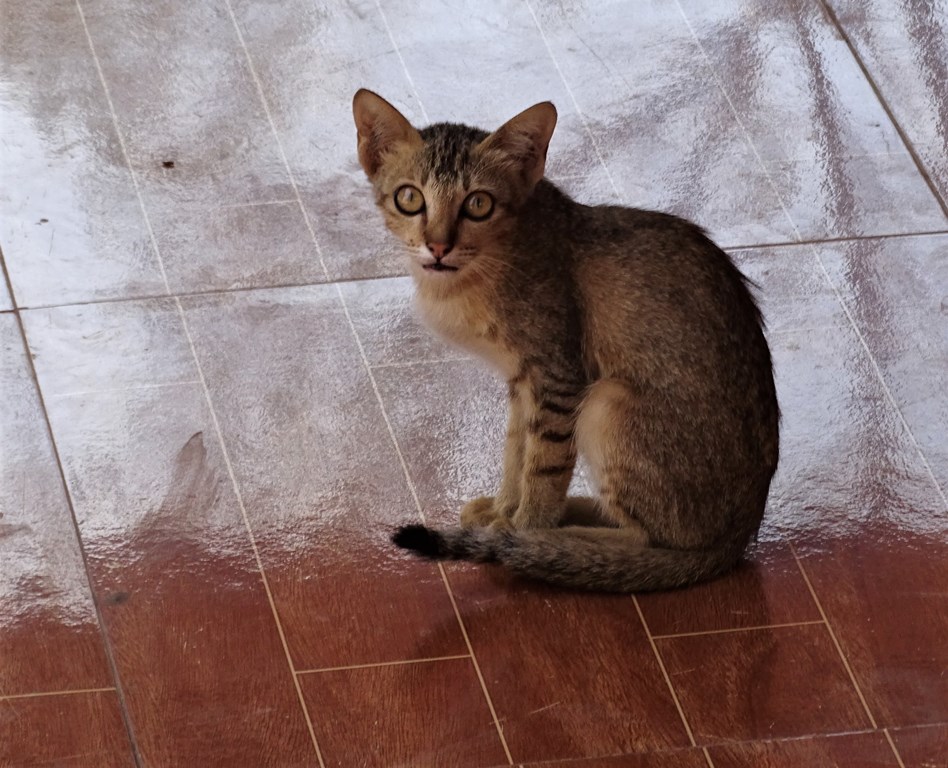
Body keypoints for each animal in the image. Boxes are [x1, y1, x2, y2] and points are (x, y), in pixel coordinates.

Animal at [352, 88, 780, 592]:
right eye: (409, 198)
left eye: (478, 204)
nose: (438, 247)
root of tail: (738, 537)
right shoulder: (523, 382)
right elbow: (516, 450)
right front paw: (505, 509)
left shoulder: (558, 378)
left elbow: (543, 466)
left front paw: (523, 528)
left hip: (605, 402)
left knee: (652, 539)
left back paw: (553, 541)